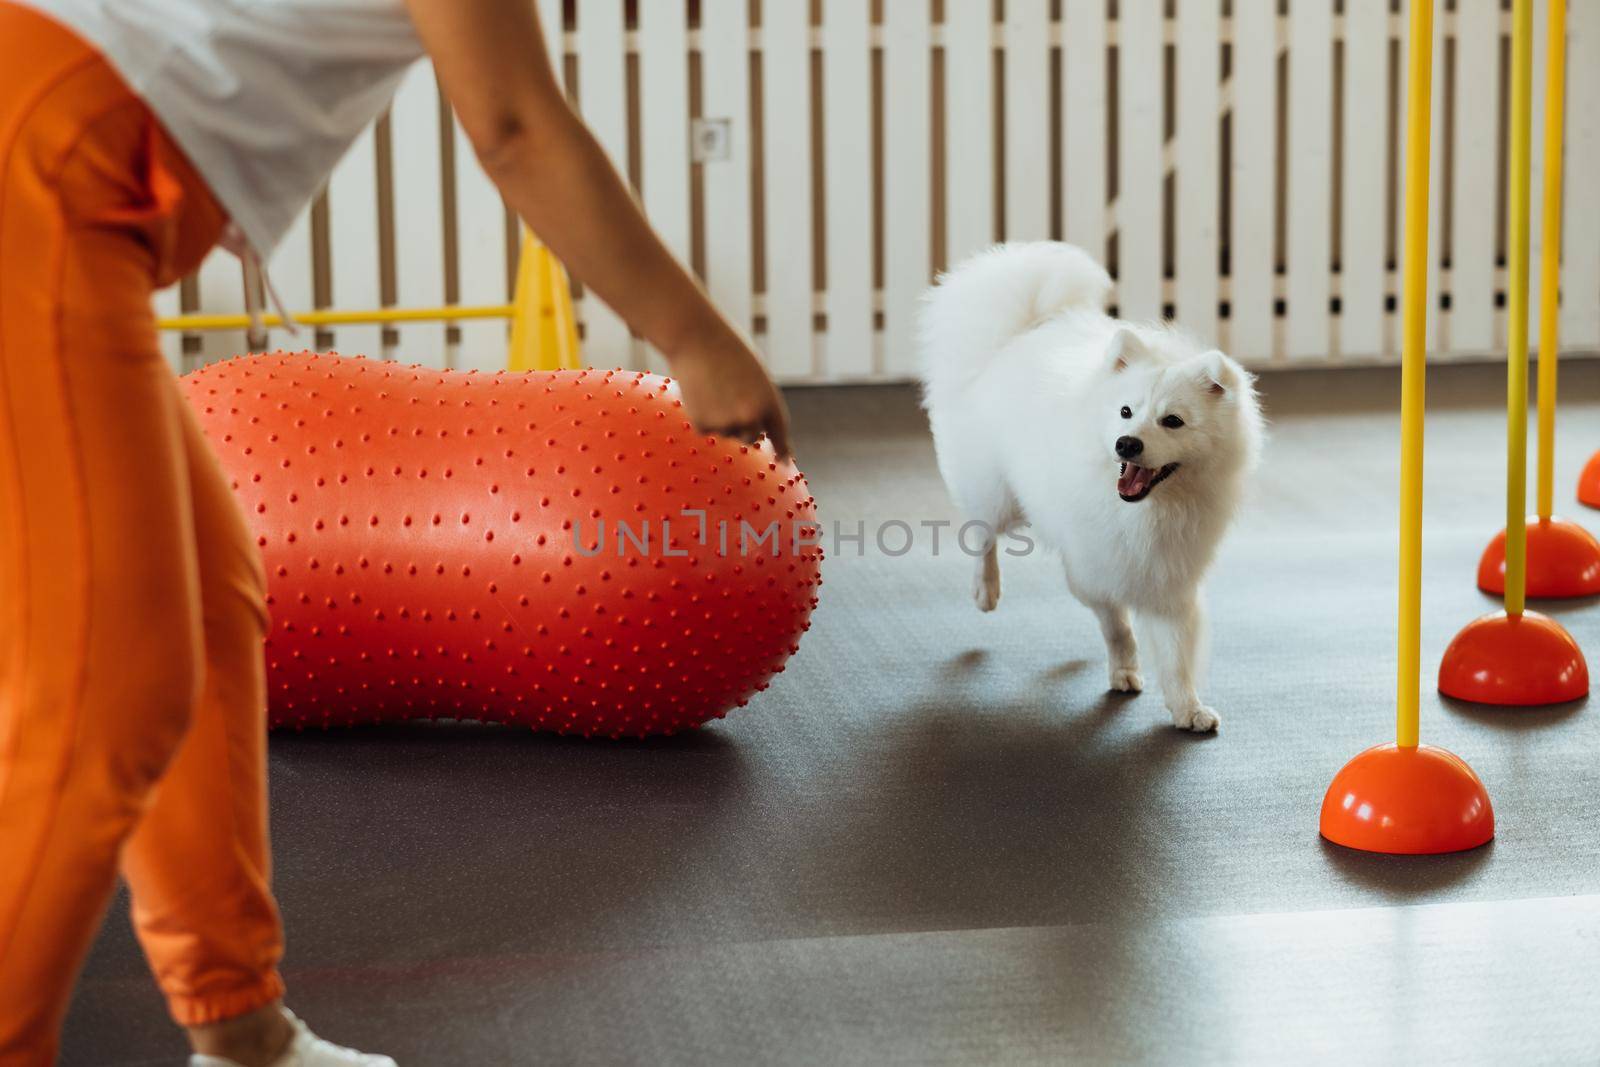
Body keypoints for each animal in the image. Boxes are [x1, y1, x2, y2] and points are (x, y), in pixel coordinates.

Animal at [928, 241, 1260, 729]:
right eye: (1125, 411)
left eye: (1173, 421)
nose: (1127, 443)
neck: (1145, 511)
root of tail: (1023, 333)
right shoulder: (1099, 564)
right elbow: (1117, 625)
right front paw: (1124, 669)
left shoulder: (1170, 579)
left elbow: (1176, 654)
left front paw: (1188, 708)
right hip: (997, 495)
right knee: (981, 531)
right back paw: (985, 590)